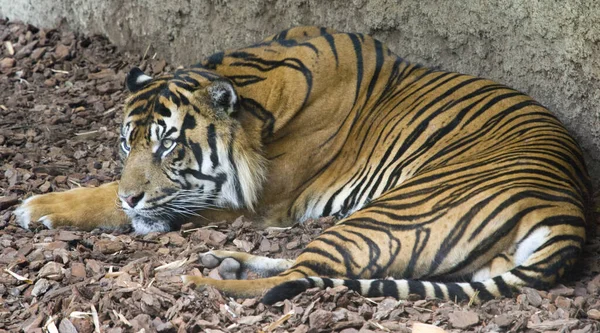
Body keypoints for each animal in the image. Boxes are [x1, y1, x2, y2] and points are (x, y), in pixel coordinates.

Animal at [14, 26, 592, 304]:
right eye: (124, 144)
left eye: (168, 146)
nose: (133, 195)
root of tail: (567, 216)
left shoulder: (251, 203)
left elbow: (112, 199)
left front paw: (37, 206)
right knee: (307, 270)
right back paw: (222, 261)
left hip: (391, 213)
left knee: (298, 278)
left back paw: (198, 281)